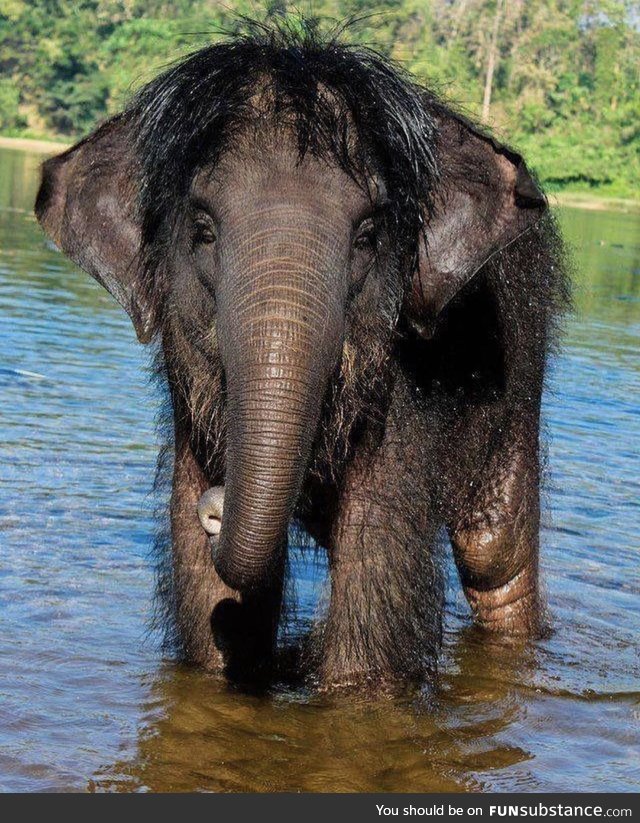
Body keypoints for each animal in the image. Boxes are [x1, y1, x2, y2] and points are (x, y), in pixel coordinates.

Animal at [35, 22, 568, 688]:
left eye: (367, 236)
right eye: (203, 231)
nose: (218, 506)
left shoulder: (407, 394)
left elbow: (370, 613)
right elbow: (212, 610)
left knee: (494, 554)